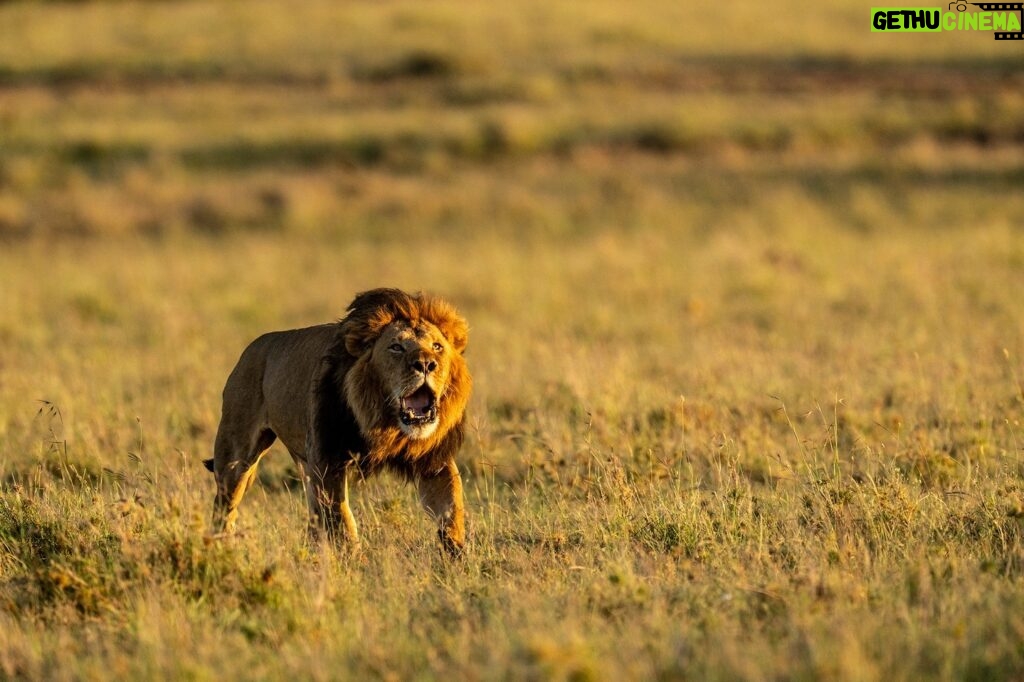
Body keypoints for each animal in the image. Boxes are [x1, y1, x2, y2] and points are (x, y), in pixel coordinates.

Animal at [202, 286, 471, 552]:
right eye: (396, 347)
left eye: (437, 347)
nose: (426, 364)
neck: (386, 423)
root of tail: (252, 348)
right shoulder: (327, 460)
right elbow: (342, 520)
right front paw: (354, 558)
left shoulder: (434, 459)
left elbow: (452, 508)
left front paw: (456, 553)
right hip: (235, 459)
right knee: (224, 507)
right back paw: (221, 547)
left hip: (304, 463)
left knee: (312, 514)